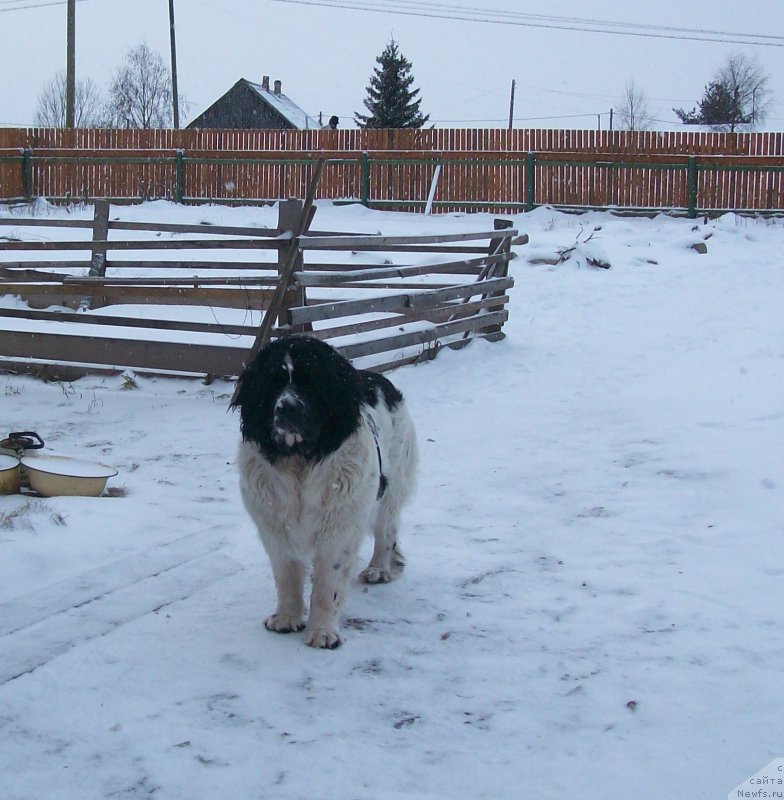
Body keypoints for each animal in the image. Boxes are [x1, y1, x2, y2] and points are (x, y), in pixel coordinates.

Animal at [231, 334, 420, 648]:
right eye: (273, 382)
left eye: (312, 382)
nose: (287, 407)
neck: (300, 463)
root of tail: (380, 379)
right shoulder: (275, 526)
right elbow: (286, 576)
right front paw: (286, 617)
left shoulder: (338, 526)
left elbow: (327, 585)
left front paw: (322, 632)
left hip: (392, 484)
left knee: (386, 529)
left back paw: (378, 569)